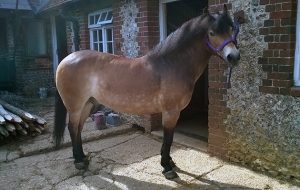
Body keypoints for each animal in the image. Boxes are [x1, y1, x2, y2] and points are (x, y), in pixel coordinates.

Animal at [54, 5, 241, 179]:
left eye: (231, 28)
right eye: (212, 33)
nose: (234, 57)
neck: (172, 64)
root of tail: (66, 60)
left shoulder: (174, 112)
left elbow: (169, 138)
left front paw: (170, 162)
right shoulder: (171, 112)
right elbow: (168, 139)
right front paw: (167, 167)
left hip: (87, 104)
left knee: (78, 129)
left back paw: (83, 158)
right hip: (75, 106)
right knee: (72, 128)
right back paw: (79, 161)